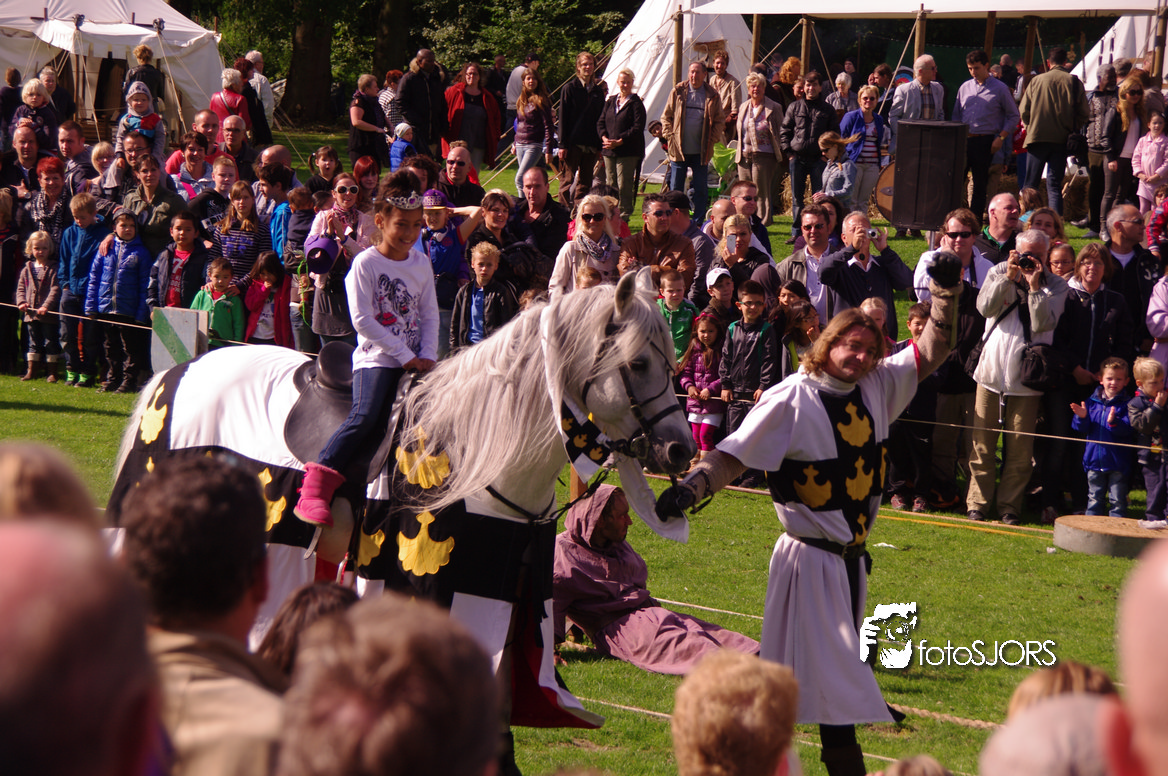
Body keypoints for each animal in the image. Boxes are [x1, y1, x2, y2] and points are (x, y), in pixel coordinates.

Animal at [109, 267, 694, 730]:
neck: (477, 453)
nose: (680, 449)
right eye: (638, 364)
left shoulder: (506, 604)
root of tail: (180, 369)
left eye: (670, 362)